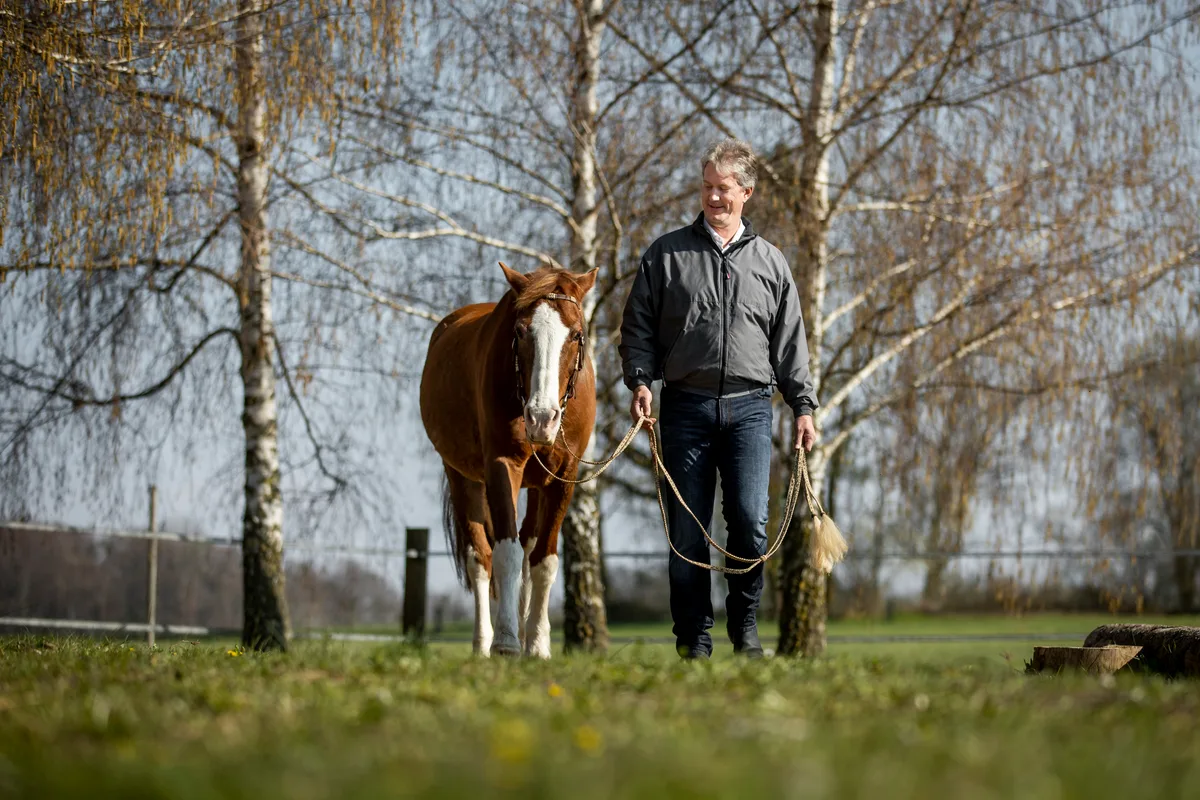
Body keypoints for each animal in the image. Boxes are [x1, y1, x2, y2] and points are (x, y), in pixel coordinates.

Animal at [419, 262, 597, 658]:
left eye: (576, 334)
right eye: (520, 331)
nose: (542, 418)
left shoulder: (564, 475)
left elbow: (543, 559)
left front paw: (538, 645)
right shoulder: (502, 466)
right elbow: (505, 553)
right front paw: (505, 641)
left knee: (528, 546)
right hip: (461, 476)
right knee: (480, 557)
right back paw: (483, 643)